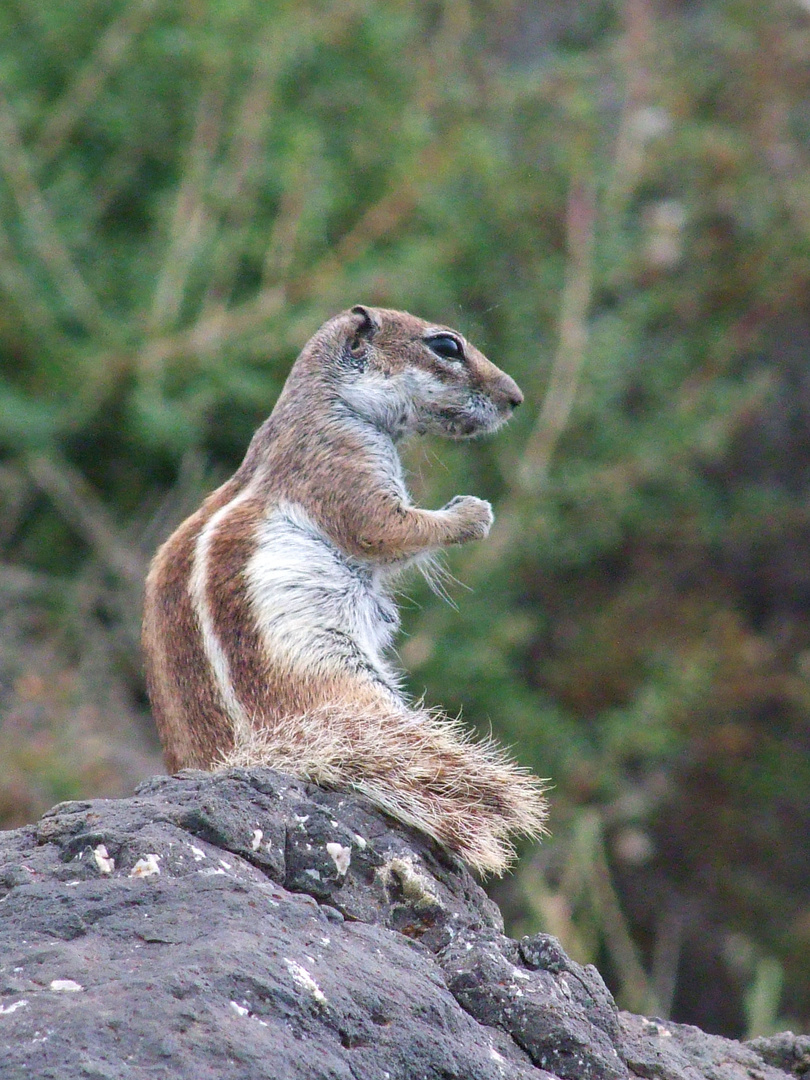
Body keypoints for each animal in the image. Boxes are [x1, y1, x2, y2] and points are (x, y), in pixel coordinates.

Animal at [142, 302, 548, 868]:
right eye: (446, 346)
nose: (516, 399)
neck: (329, 402)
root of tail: (257, 750)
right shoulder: (344, 467)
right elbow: (385, 528)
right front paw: (472, 514)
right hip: (350, 683)